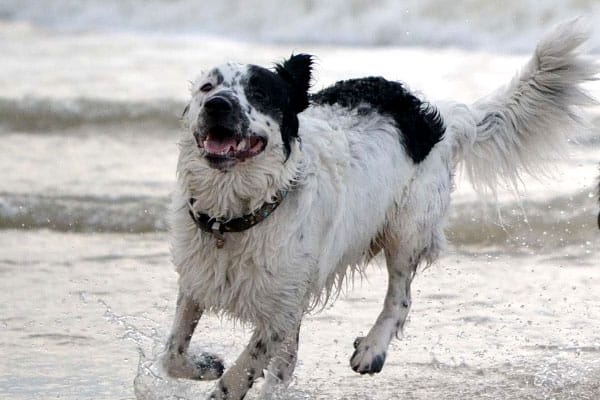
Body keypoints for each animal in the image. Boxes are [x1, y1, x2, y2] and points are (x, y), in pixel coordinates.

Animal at [159, 20, 596, 398]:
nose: (217, 105)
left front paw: (224, 380)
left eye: (260, 94)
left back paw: (372, 349)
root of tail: (433, 116)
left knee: (400, 298)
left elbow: (241, 371)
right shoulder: (199, 280)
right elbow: (173, 354)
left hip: (407, 230)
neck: (236, 213)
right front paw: (205, 365)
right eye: (207, 87)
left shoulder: (280, 308)